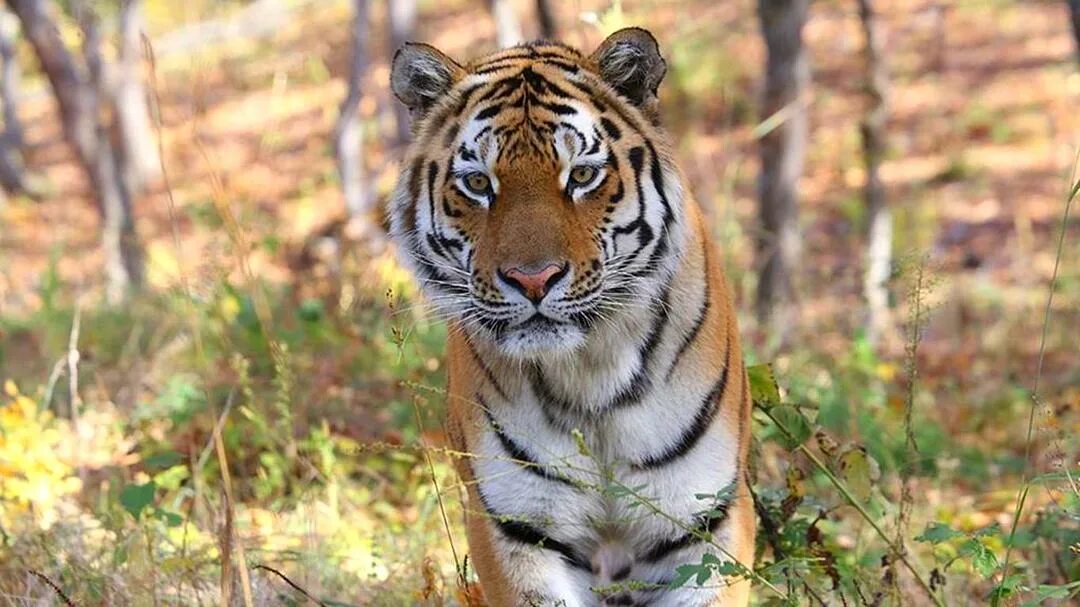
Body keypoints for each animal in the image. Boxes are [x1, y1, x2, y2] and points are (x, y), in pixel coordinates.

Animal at [388, 25, 751, 600]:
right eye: (478, 183)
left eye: (580, 175)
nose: (533, 279)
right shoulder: (516, 528)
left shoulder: (706, 519)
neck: (589, 376)